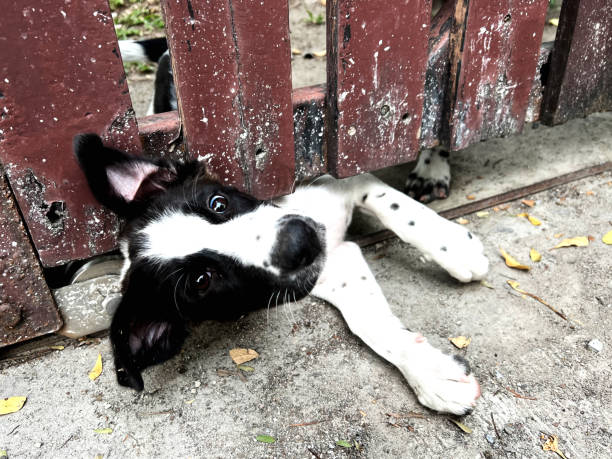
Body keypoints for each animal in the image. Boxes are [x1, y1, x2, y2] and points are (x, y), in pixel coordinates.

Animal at [75, 133, 488, 416]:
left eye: (218, 203)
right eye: (201, 281)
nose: (299, 242)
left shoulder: (341, 181)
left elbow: (398, 209)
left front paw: (455, 246)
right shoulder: (333, 269)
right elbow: (369, 323)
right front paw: (431, 372)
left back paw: (432, 167)